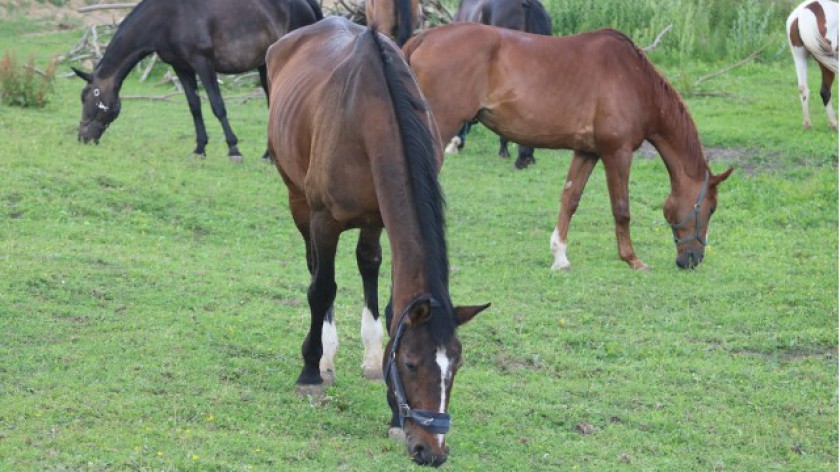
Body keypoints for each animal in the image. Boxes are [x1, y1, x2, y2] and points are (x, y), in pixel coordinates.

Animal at [71, 0, 322, 161]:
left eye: (89, 99)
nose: (83, 138)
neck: (167, 18)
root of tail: (306, 4)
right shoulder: (182, 67)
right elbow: (194, 106)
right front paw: (200, 148)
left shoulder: (203, 63)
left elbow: (217, 106)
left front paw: (234, 149)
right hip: (265, 67)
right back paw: (269, 155)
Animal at [266, 17, 488, 464]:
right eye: (411, 364)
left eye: (455, 367)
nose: (431, 451)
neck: (370, 114)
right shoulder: (323, 219)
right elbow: (321, 288)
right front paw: (310, 372)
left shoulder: (380, 216)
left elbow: (387, 299)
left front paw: (392, 412)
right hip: (297, 198)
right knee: (316, 271)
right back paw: (325, 355)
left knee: (366, 262)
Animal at [404, 24, 732, 272]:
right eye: (710, 208)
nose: (692, 260)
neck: (635, 81)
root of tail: (425, 37)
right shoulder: (617, 153)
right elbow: (622, 209)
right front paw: (632, 259)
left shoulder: (588, 152)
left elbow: (570, 199)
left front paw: (559, 256)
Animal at [784, 0, 836, 130]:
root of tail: (805, 10)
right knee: (825, 91)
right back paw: (834, 123)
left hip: (799, 55)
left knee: (803, 88)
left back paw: (808, 124)